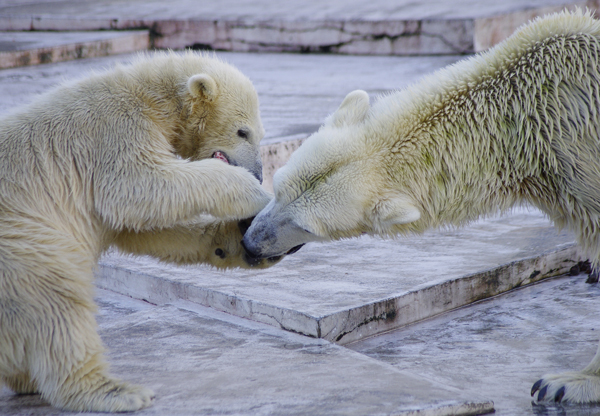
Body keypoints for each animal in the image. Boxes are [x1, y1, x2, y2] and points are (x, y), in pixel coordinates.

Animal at [0, 50, 282, 412]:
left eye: (260, 134)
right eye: (242, 131)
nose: (259, 174)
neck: (152, 96)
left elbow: (144, 226)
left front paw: (235, 242)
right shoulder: (115, 132)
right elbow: (140, 186)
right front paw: (253, 193)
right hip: (19, 238)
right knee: (53, 297)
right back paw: (114, 391)